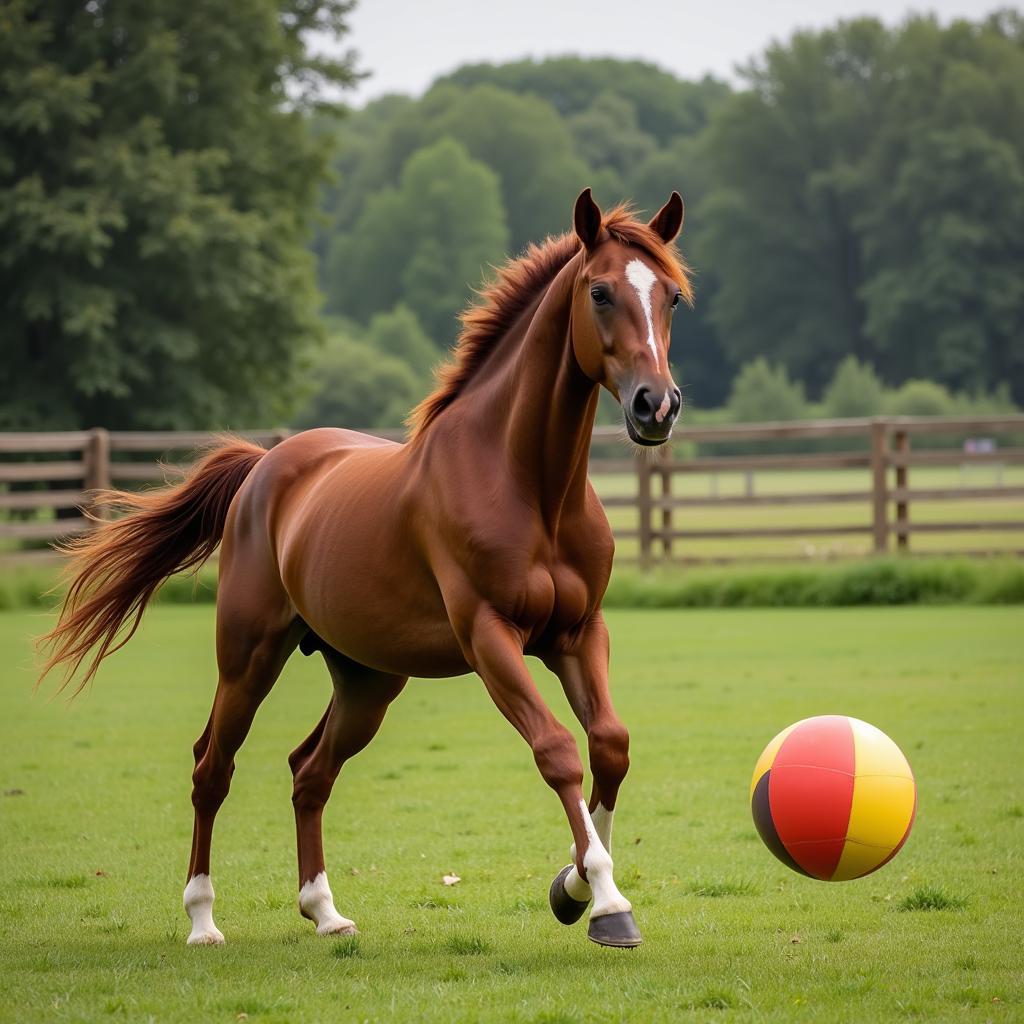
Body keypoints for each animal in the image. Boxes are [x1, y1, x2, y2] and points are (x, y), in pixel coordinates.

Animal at [41, 190, 696, 950]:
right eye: (599, 292)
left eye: (672, 296)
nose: (656, 405)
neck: (530, 486)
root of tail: (263, 468)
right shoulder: (491, 637)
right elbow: (558, 749)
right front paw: (606, 903)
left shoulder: (578, 634)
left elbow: (611, 745)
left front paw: (574, 888)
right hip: (248, 660)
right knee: (213, 768)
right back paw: (203, 920)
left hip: (367, 681)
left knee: (309, 772)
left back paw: (325, 912)